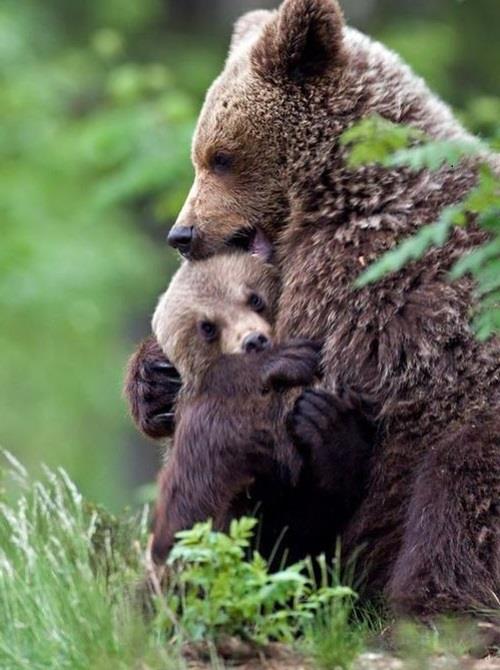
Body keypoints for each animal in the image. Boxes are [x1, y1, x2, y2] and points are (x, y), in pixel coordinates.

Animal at [126, 0, 500, 624]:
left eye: (221, 156)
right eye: (200, 155)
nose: (182, 234)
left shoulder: (365, 276)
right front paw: (154, 380)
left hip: (472, 417)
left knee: (456, 493)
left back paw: (426, 607)